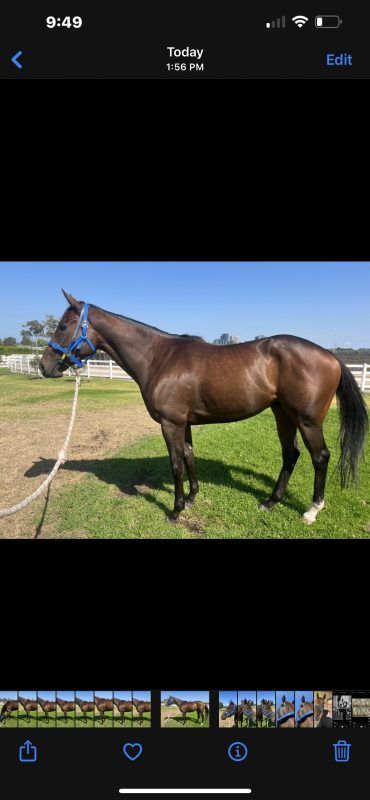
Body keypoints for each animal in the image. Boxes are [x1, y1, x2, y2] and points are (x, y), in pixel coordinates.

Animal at [40, 292, 368, 524]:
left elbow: (175, 464)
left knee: (320, 457)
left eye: (63, 325)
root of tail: (330, 355)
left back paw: (312, 510)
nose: (44, 365)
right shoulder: (183, 423)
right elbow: (189, 456)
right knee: (291, 455)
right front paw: (191, 498)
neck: (159, 358)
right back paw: (270, 502)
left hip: (307, 420)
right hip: (282, 414)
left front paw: (175, 511)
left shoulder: (170, 423)